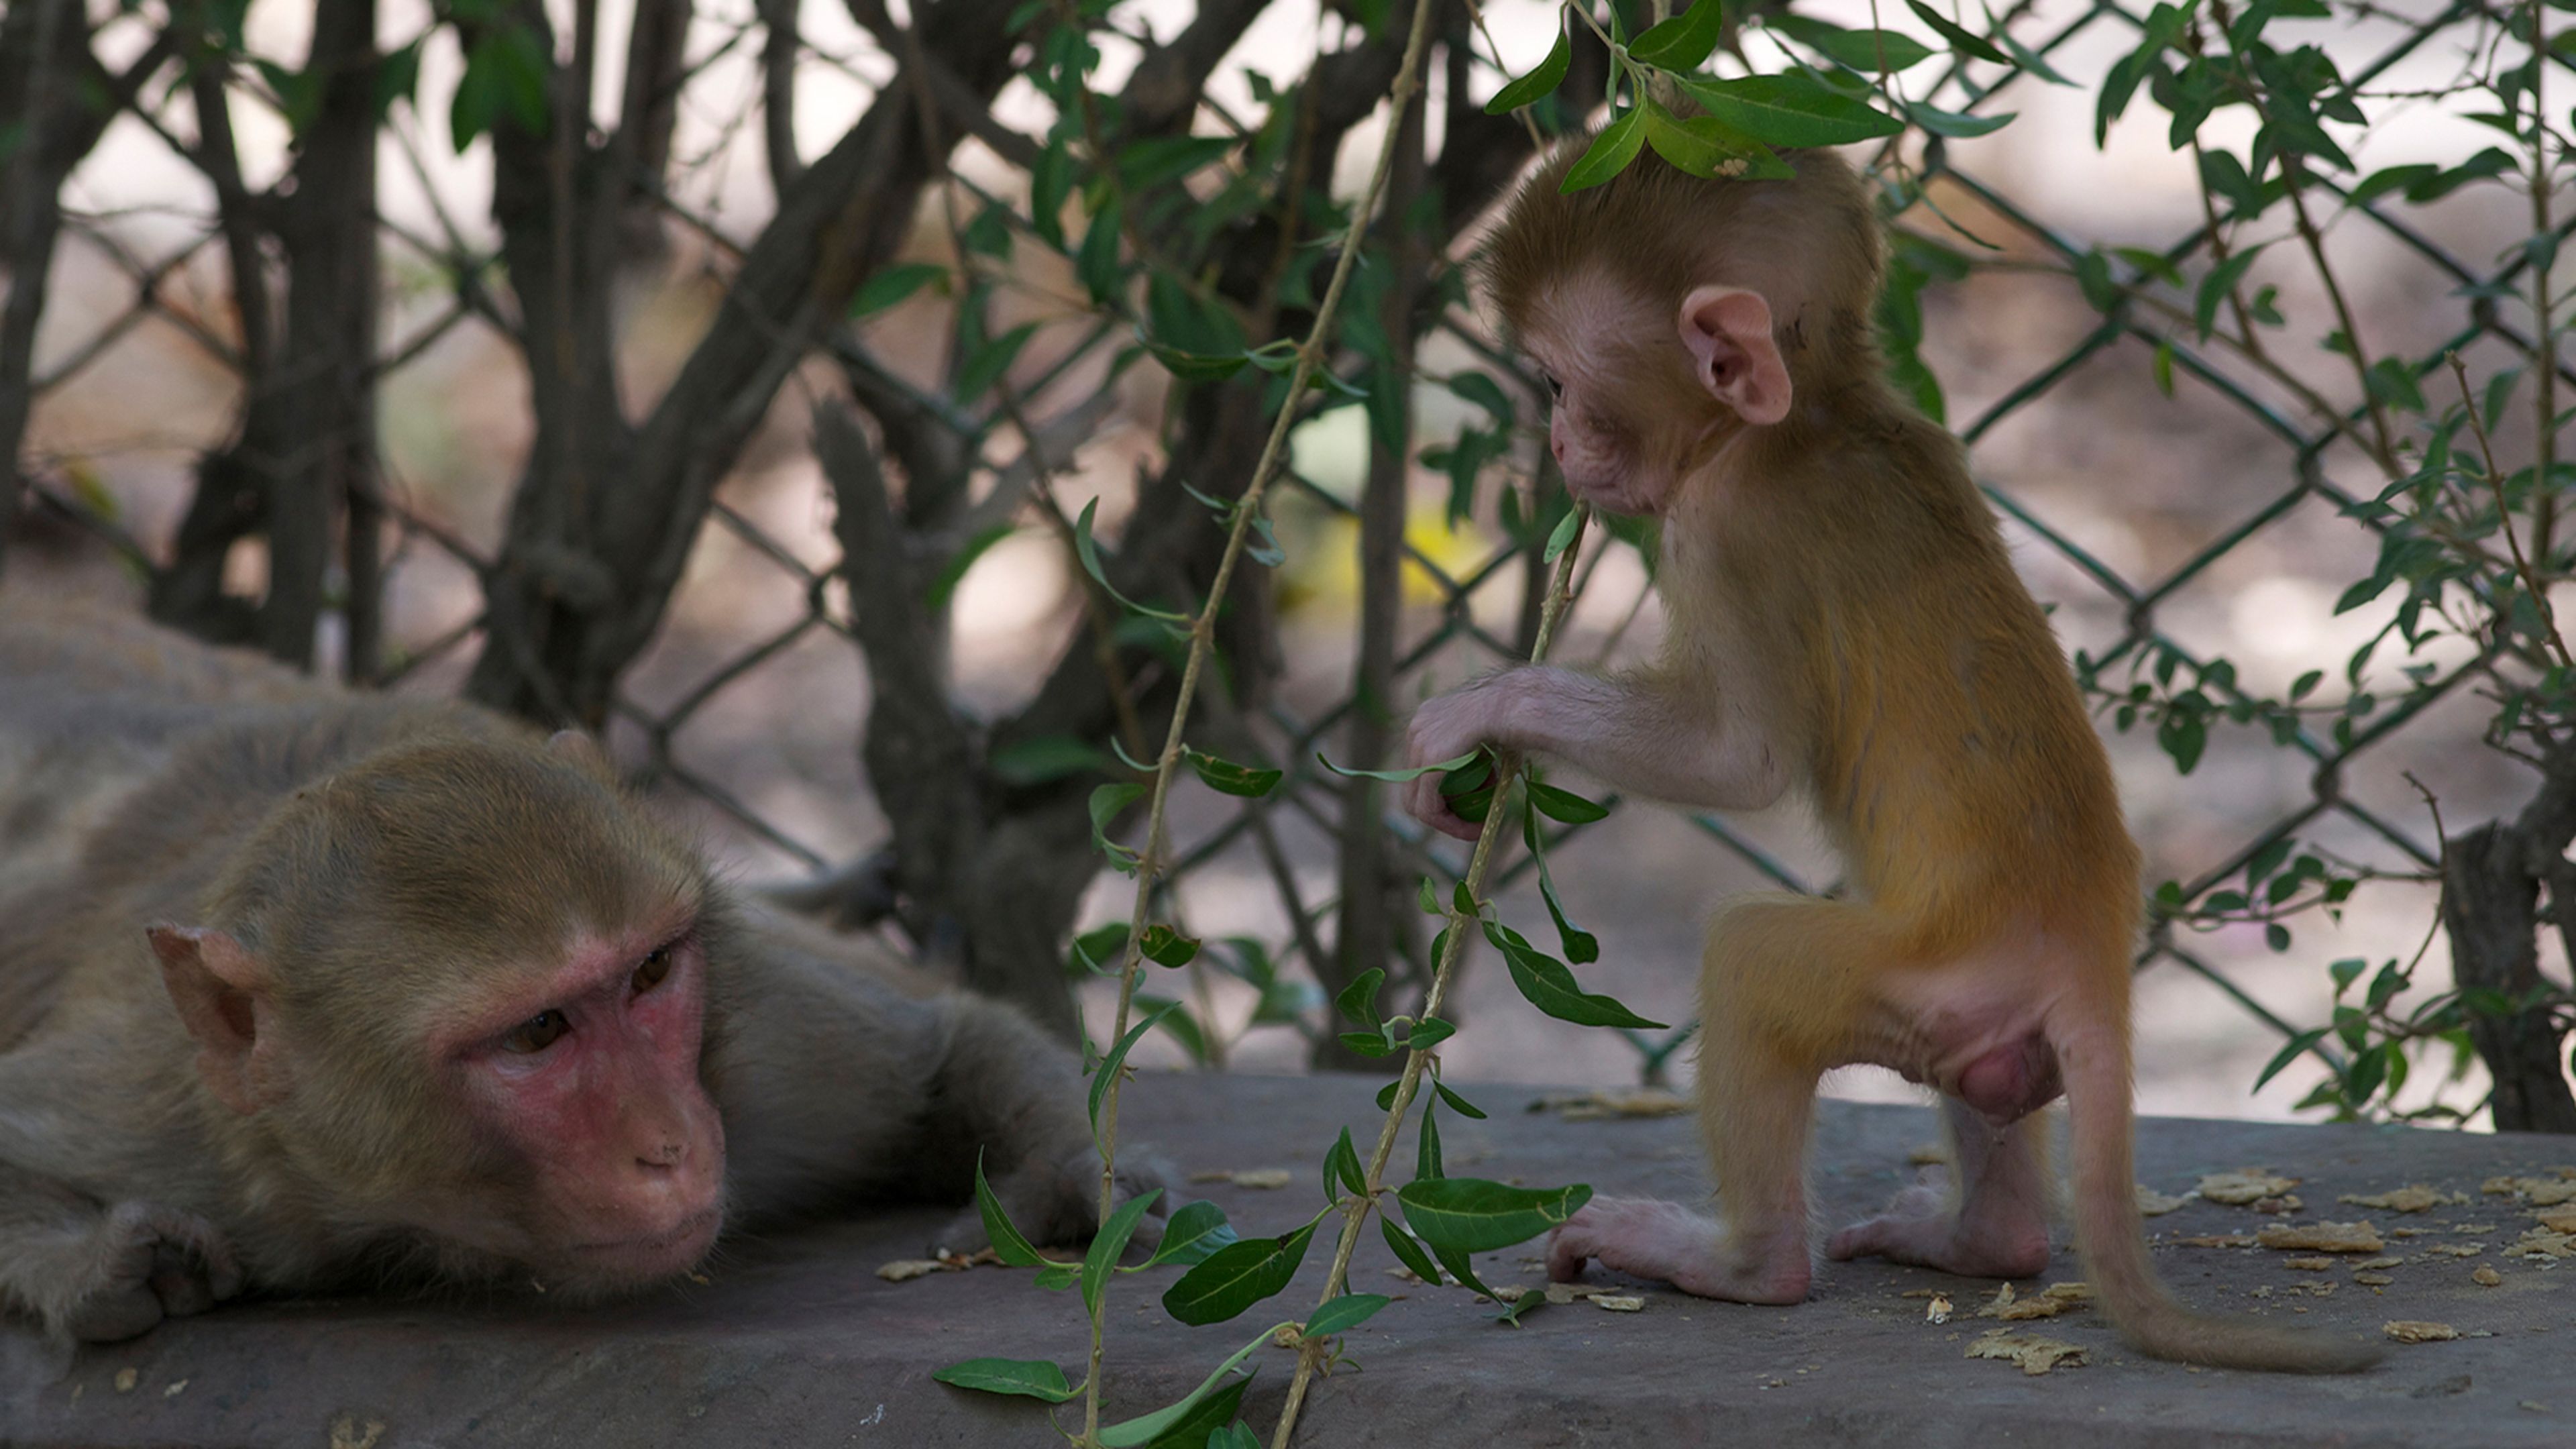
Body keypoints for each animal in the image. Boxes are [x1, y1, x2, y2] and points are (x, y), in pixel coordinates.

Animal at [0, 600, 1161, 1344]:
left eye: (648, 974)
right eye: (537, 1032)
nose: (672, 1145)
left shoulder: (772, 1053)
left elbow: (943, 1048)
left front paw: (1069, 1179)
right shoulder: (189, 1135)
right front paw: (107, 1265)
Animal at [1402, 143, 2380, 1373]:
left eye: (1558, 383)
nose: (1564, 445)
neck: (1816, 414)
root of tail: (2086, 952)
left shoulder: (1723, 530)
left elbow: (1740, 760)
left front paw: (1488, 711)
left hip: (1920, 977)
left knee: (1752, 957)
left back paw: (1745, 1265)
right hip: (1988, 1025)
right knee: (1996, 1097)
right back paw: (1985, 1239)